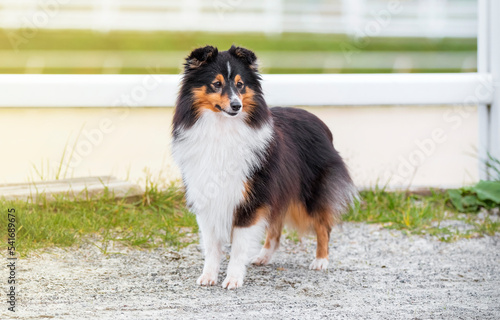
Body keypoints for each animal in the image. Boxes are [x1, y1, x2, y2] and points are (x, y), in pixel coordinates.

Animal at [174, 45, 358, 290]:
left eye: (240, 84)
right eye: (216, 84)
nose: (236, 106)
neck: (223, 128)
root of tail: (320, 123)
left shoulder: (250, 199)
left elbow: (239, 246)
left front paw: (233, 279)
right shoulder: (206, 196)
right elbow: (212, 246)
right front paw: (208, 276)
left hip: (307, 196)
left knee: (323, 225)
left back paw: (321, 261)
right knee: (276, 228)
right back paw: (263, 257)